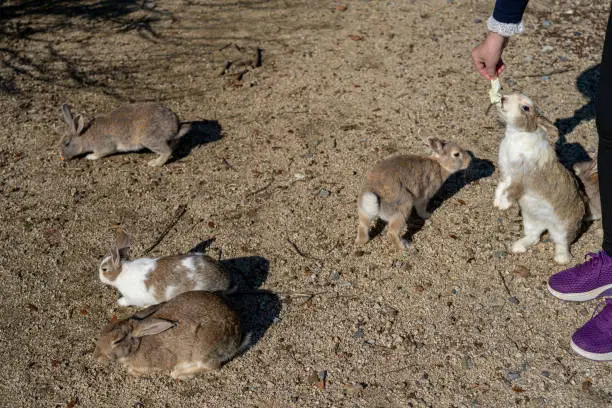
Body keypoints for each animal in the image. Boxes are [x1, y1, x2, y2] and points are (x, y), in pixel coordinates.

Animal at [60, 102, 190, 166]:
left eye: (66, 144)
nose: (62, 157)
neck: (84, 137)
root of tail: (175, 126)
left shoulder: (105, 146)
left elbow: (101, 153)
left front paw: (90, 156)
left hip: (149, 138)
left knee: (167, 151)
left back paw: (154, 163)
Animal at [94, 292, 247, 378]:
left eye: (117, 340)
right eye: (104, 330)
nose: (97, 356)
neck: (138, 344)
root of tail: (237, 336)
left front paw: (132, 371)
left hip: (204, 348)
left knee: (212, 366)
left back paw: (179, 373)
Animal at [100, 230, 232, 306]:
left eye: (104, 269)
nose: (99, 277)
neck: (121, 273)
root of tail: (225, 281)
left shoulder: (133, 298)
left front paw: (119, 302)